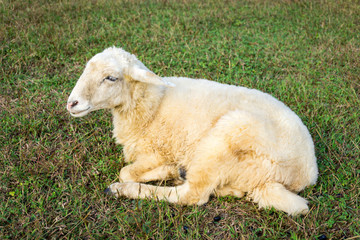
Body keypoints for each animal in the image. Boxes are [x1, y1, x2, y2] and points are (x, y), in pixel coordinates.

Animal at [67, 47, 318, 216]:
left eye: (111, 78)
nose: (71, 103)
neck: (153, 103)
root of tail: (303, 174)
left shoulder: (156, 151)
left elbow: (125, 171)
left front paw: (139, 177)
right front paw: (170, 170)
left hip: (224, 139)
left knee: (192, 195)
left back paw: (123, 189)